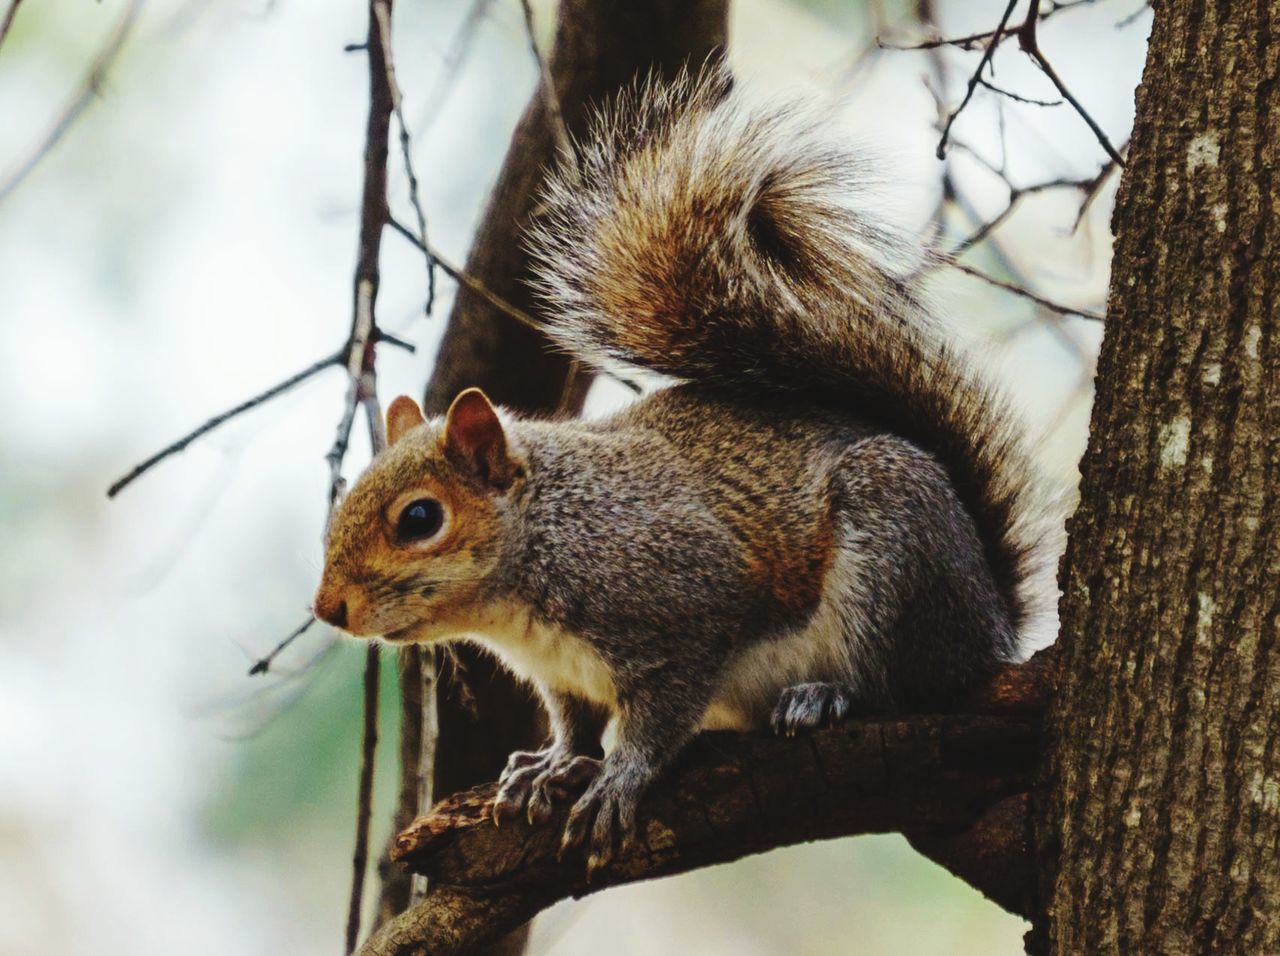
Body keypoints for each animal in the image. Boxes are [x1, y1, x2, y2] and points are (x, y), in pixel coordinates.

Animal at [309, 67, 1049, 875]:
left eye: (420, 518)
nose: (328, 609)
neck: (544, 543)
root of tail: (992, 621)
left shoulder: (684, 603)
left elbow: (660, 716)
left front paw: (619, 779)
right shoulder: (563, 676)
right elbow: (574, 722)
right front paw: (552, 763)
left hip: (895, 551)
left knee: (910, 682)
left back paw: (827, 696)